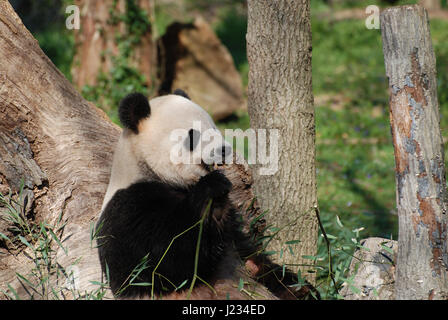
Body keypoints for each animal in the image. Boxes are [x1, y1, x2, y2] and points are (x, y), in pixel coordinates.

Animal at [96, 90, 316, 300]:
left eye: (215, 129)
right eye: (192, 136)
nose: (223, 150)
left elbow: (249, 255)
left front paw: (298, 286)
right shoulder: (130, 207)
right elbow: (165, 260)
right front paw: (213, 195)